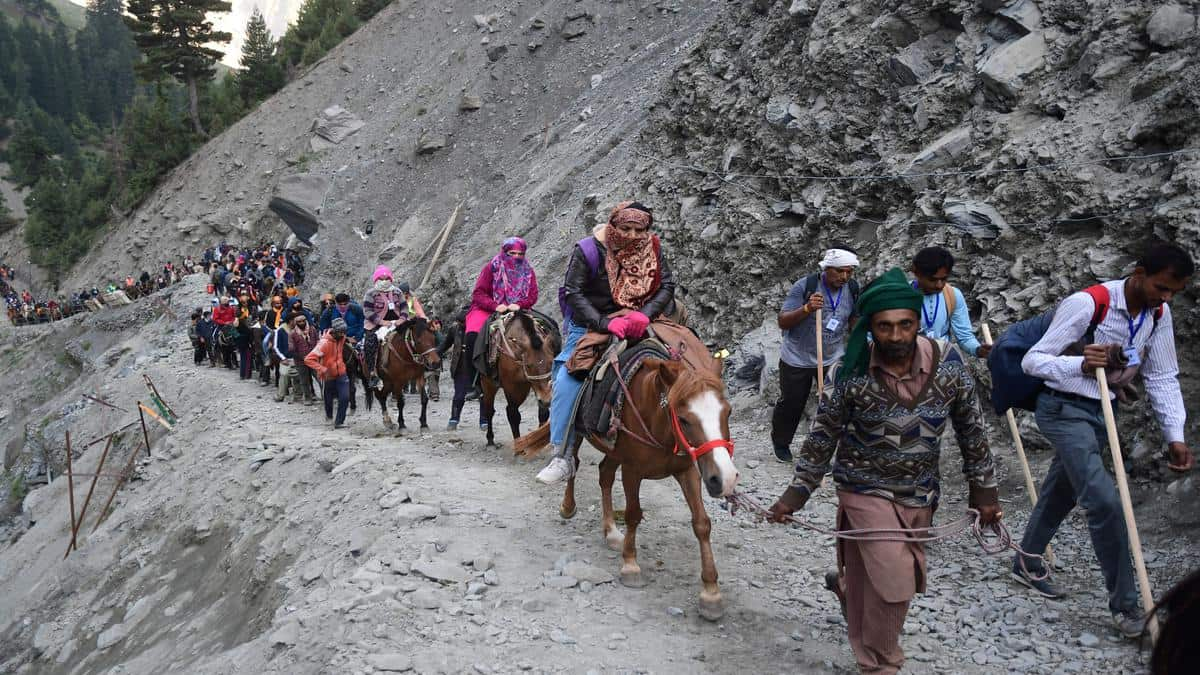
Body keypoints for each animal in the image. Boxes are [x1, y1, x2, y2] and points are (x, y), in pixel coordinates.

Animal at [480, 312, 559, 446]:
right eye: (528, 365)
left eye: (551, 362)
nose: (546, 400)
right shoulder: (512, 387)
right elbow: (513, 415)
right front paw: (519, 446)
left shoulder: (541, 388)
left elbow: (543, 413)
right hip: (487, 382)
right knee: (489, 410)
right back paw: (490, 439)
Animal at [511, 353, 734, 619]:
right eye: (683, 419)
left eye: (728, 412)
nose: (725, 478)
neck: (658, 422)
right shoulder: (632, 471)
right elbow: (633, 515)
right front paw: (630, 565)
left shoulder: (687, 471)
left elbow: (702, 523)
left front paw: (711, 592)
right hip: (579, 434)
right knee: (573, 463)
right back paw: (568, 505)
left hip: (614, 451)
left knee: (605, 475)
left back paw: (611, 531)